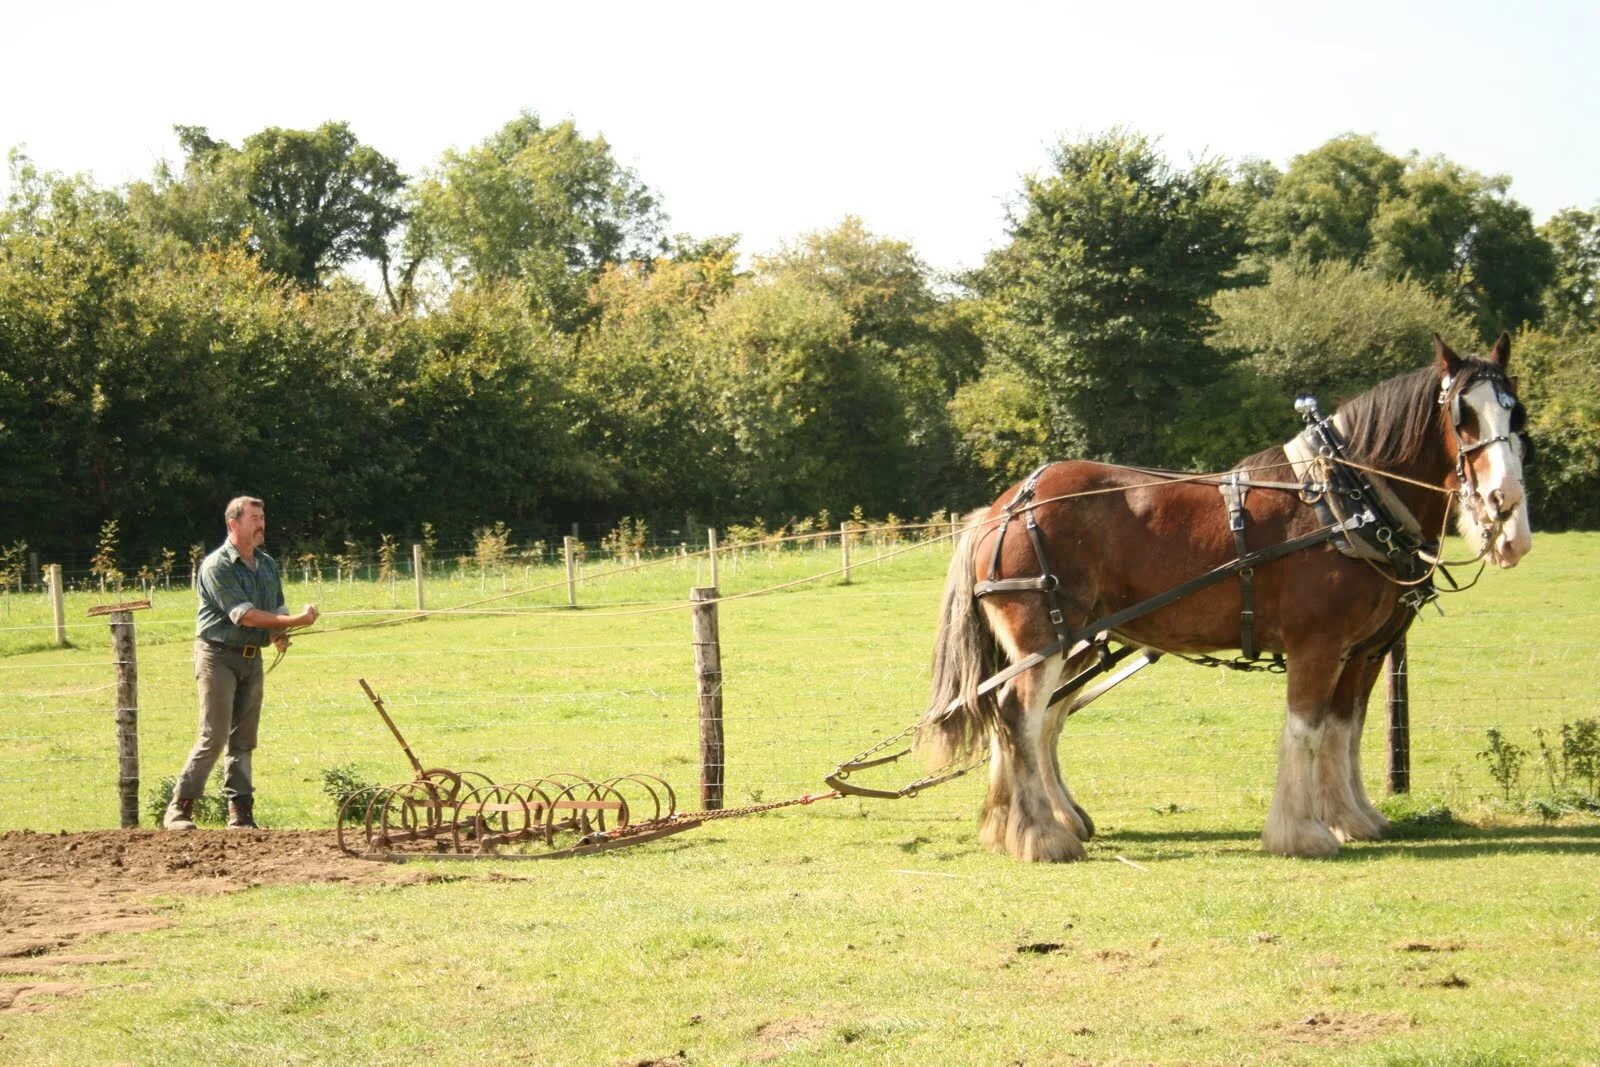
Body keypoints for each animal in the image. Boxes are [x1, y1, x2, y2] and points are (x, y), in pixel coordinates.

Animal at [934, 337, 1529, 863]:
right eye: (1463, 415)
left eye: (1514, 415)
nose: (1504, 503)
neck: (1345, 499)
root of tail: (1002, 508)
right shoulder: (1319, 645)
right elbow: (1306, 730)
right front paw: (1301, 832)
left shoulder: (1359, 651)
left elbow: (1344, 731)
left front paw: (1352, 816)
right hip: (1046, 638)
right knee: (1018, 716)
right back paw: (1042, 836)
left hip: (1073, 641)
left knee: (1036, 720)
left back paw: (1022, 824)